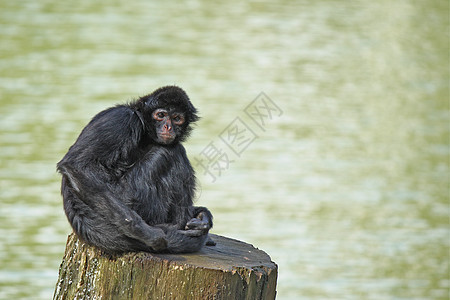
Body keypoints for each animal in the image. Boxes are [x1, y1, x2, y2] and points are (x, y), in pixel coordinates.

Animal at [56, 85, 214, 254]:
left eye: (177, 118)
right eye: (161, 115)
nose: (168, 126)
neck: (142, 125)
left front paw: (203, 217)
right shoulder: (121, 119)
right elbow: (75, 165)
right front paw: (150, 235)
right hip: (129, 195)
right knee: (169, 151)